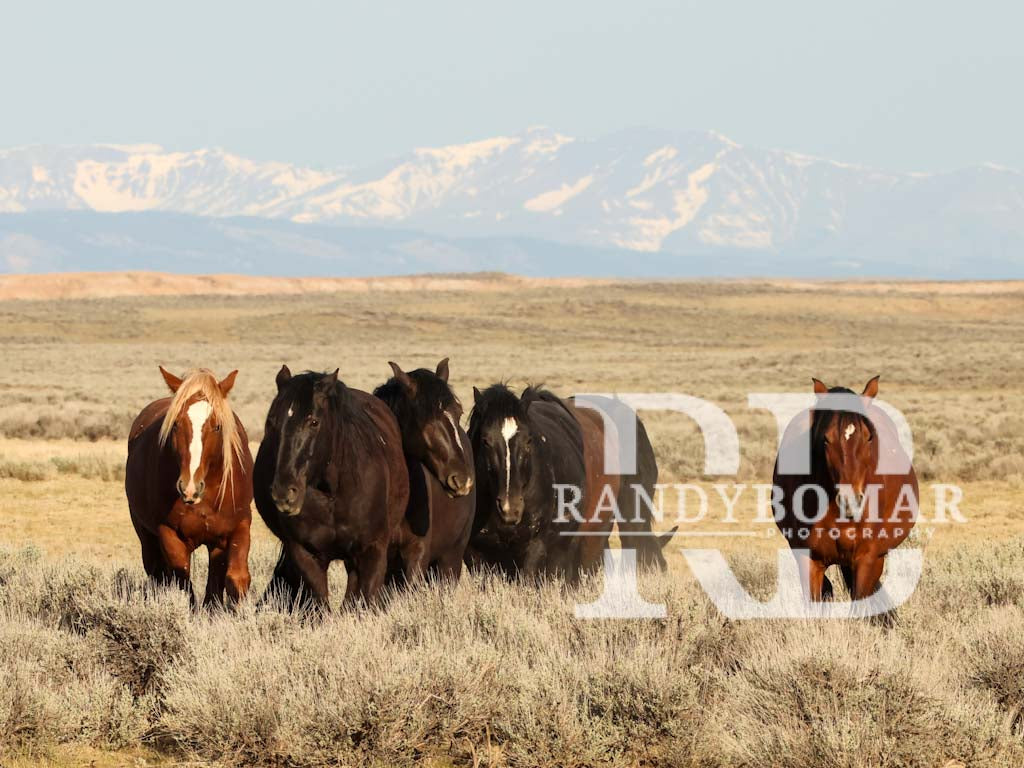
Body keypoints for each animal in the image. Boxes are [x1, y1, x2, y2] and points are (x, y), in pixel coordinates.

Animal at [125, 367, 253, 607]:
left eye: (217, 426)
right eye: (175, 424)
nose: (189, 487)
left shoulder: (238, 525)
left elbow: (236, 579)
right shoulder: (168, 532)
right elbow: (182, 580)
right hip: (146, 537)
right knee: (158, 573)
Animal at [254, 366, 410, 609]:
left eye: (314, 422)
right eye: (272, 422)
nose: (284, 493)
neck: (333, 495)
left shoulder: (372, 552)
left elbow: (364, 601)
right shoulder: (305, 555)